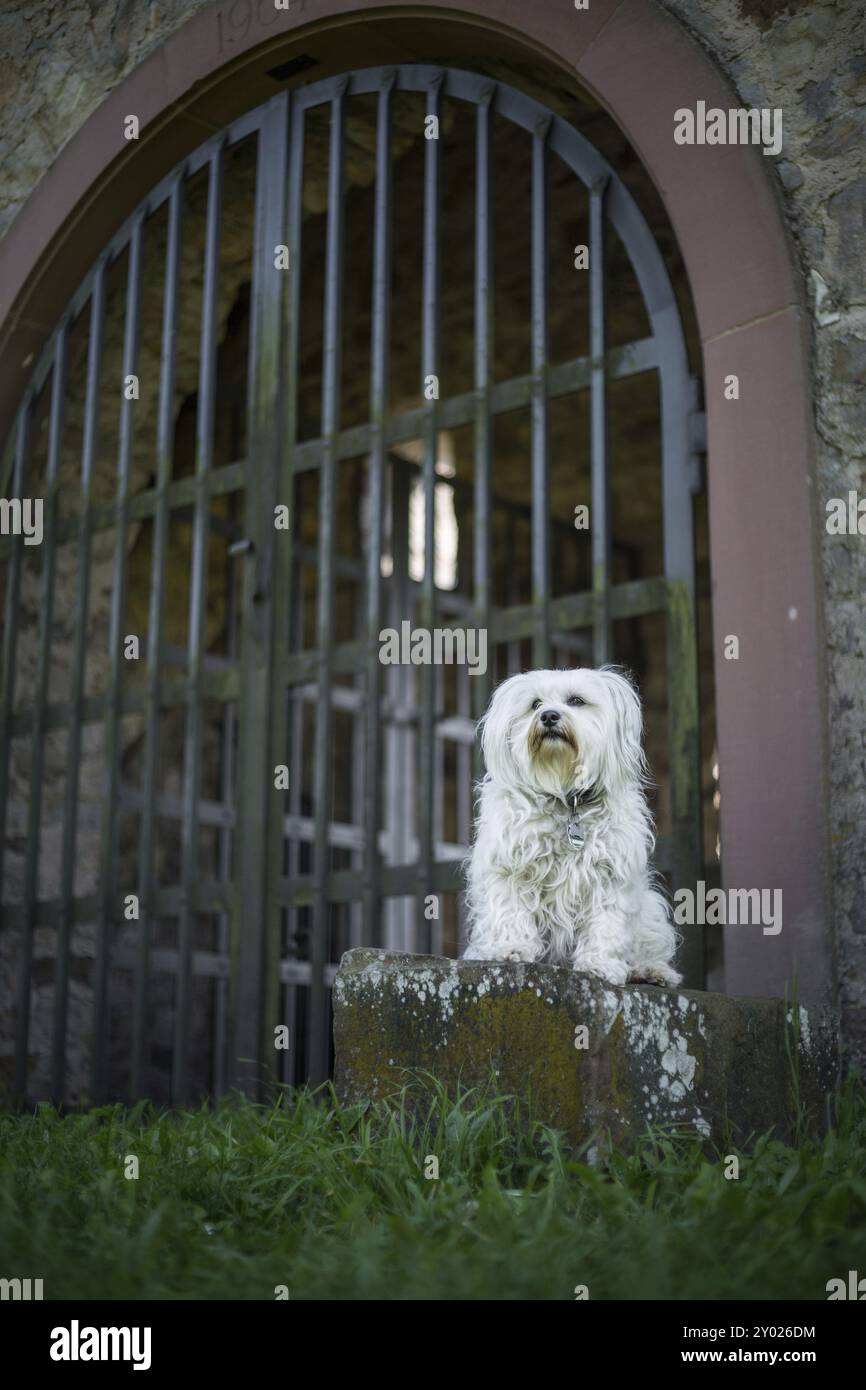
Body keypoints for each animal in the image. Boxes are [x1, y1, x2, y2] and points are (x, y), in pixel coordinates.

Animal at [464, 661, 681, 989]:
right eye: (535, 704)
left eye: (576, 700)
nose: (549, 716)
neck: (565, 796)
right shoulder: (510, 867)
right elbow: (510, 910)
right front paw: (510, 948)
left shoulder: (608, 875)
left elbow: (605, 924)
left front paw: (600, 964)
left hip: (650, 911)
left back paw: (651, 970)